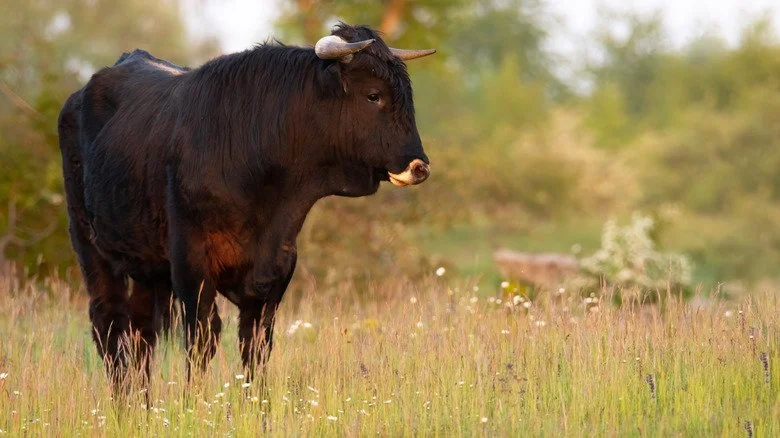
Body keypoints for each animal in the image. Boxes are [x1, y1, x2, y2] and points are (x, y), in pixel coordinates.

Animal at [57, 23, 434, 391]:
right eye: (373, 95)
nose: (420, 167)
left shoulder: (274, 272)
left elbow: (256, 347)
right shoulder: (192, 268)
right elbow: (202, 342)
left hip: (147, 266)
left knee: (140, 333)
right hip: (91, 246)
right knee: (108, 323)